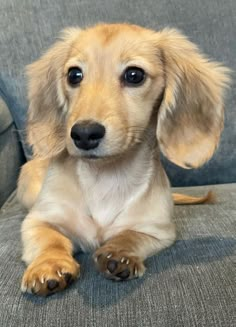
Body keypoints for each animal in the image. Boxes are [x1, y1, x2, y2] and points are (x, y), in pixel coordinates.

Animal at [17, 22, 230, 294]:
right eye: (74, 75)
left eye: (134, 75)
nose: (84, 134)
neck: (105, 177)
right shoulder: (38, 220)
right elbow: (50, 239)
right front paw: (48, 264)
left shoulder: (158, 231)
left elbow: (130, 235)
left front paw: (118, 253)